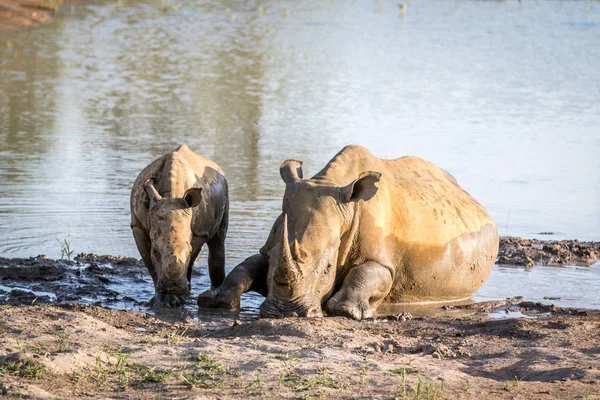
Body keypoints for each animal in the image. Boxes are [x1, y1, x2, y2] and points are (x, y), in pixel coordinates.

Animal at [130, 145, 229, 308]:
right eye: (155, 251)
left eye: (188, 249)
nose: (173, 286)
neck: (170, 195)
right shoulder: (137, 226)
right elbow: (149, 263)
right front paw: (162, 300)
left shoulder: (198, 232)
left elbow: (191, 256)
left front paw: (178, 298)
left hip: (224, 187)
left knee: (218, 240)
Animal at [199, 145, 500, 320]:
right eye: (274, 258)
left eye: (327, 268)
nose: (285, 313)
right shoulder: (272, 243)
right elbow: (246, 266)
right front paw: (216, 301)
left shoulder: (384, 260)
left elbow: (369, 272)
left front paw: (346, 310)